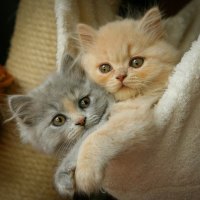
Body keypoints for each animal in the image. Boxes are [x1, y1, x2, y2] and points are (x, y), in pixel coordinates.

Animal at [72, 7, 180, 195]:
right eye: (105, 68)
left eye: (136, 62)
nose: (121, 76)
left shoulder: (134, 118)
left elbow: (95, 138)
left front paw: (84, 176)